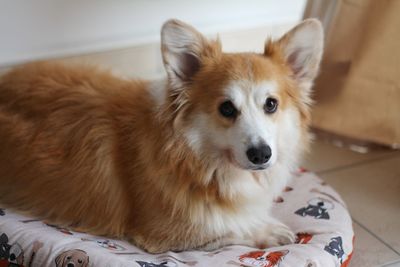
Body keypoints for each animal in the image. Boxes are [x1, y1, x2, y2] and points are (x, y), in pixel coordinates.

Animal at [0, 18, 324, 253]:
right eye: (226, 108)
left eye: (271, 104)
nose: (261, 154)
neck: (199, 161)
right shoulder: (166, 234)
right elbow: (229, 227)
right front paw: (271, 230)